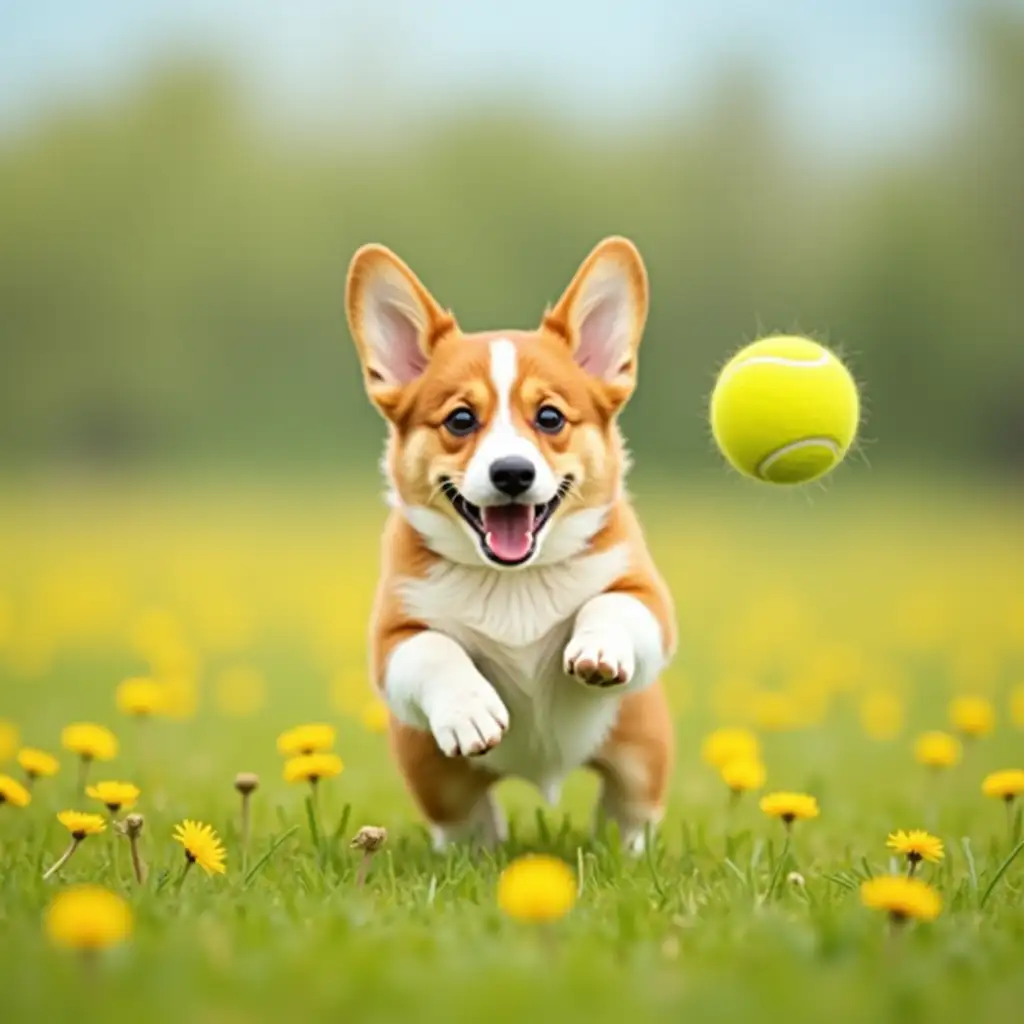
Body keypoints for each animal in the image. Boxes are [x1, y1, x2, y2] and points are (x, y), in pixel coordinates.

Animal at [348, 235, 675, 851]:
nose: (512, 473)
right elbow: (436, 649)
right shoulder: (393, 638)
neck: (514, 579)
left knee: (627, 814)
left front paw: (597, 651)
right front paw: (471, 711)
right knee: (469, 824)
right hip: (437, 778)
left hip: (642, 753)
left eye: (549, 417)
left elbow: (612, 604)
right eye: (460, 420)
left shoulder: (648, 599)